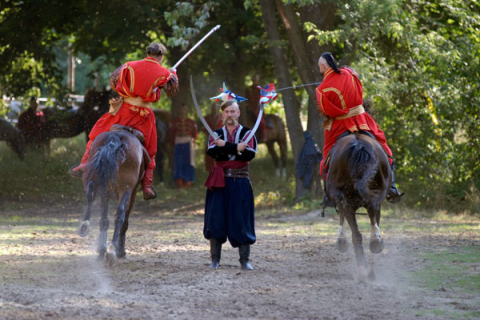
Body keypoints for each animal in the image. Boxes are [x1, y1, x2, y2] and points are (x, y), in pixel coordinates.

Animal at [78, 127, 148, 264]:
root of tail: (115, 137)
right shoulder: (132, 192)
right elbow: (124, 221)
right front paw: (120, 251)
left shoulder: (104, 192)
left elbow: (103, 219)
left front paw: (101, 248)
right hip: (126, 189)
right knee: (120, 215)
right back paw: (112, 250)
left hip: (99, 182)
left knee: (91, 194)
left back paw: (87, 228)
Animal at [324, 132, 392, 280]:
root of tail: (359, 145)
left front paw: (341, 240)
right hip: (372, 199)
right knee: (369, 216)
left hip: (348, 201)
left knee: (356, 231)